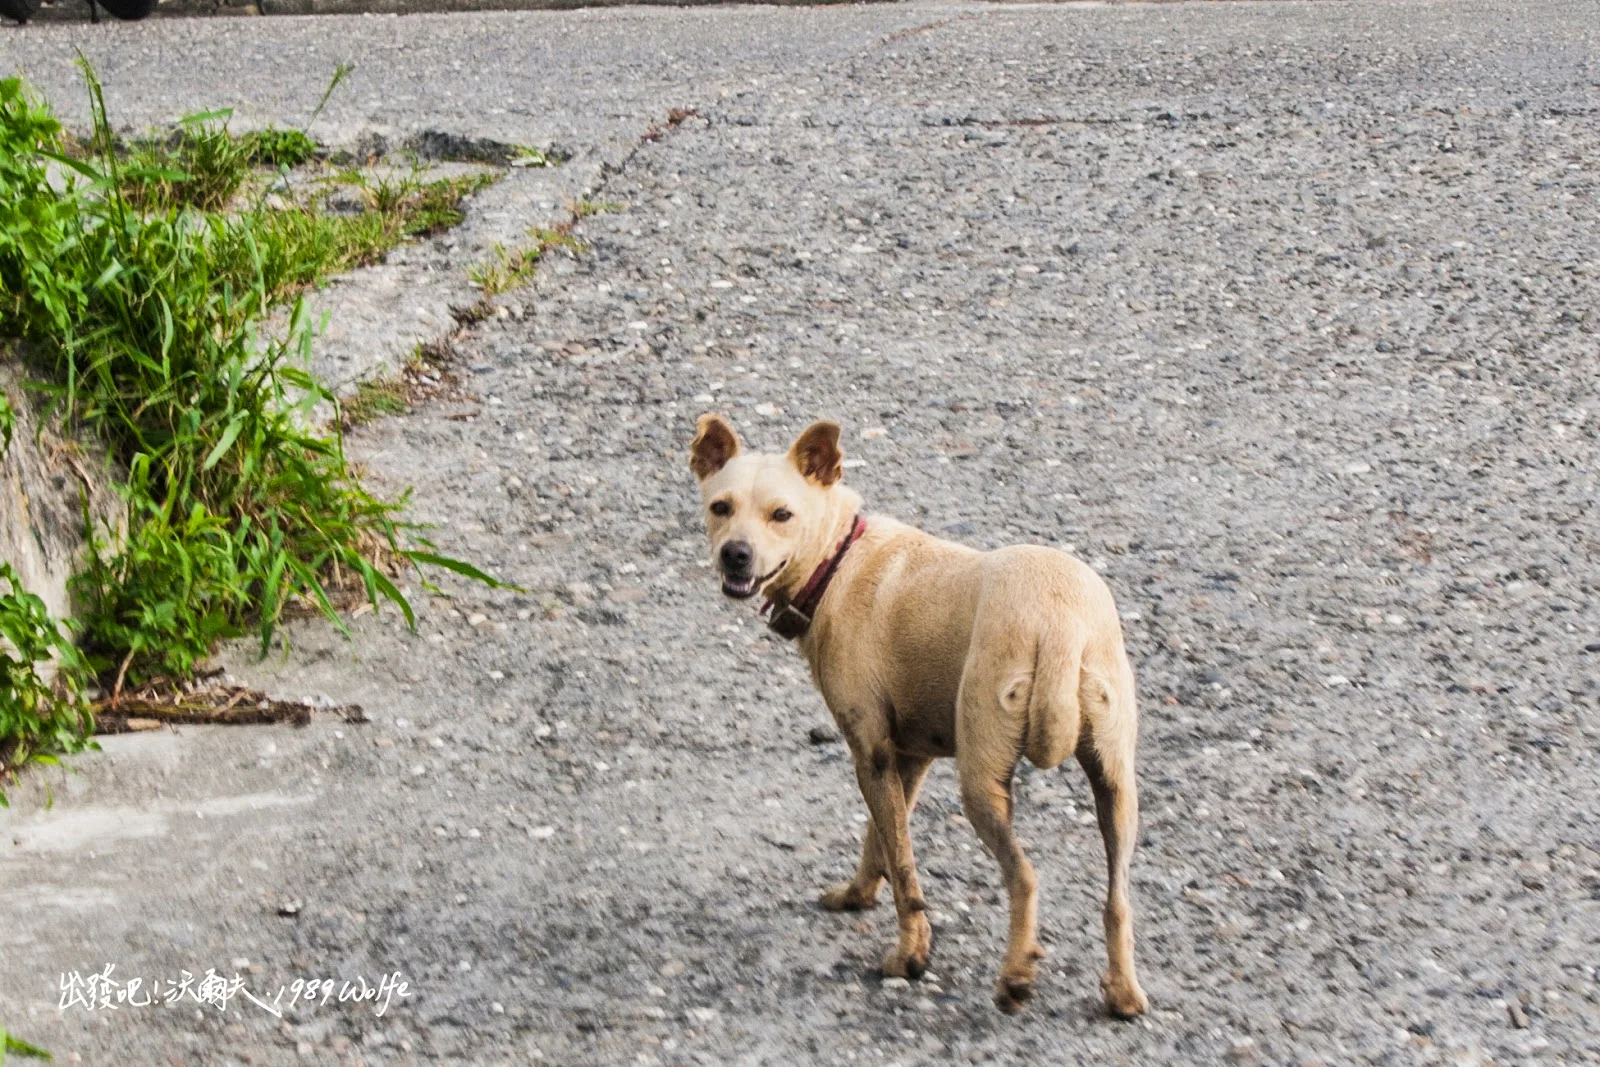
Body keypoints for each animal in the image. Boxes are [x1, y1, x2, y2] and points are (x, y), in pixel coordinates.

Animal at [688, 412, 1152, 1017]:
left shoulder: (872, 754)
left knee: (1025, 877)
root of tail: (1059, 621)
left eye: (781, 515)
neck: (838, 560)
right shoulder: (908, 757)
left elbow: (905, 871)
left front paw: (909, 956)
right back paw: (1122, 990)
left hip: (981, 783)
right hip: (1116, 789)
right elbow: (881, 843)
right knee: (1118, 900)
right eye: (721, 507)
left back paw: (1015, 975)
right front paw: (858, 895)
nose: (735, 555)